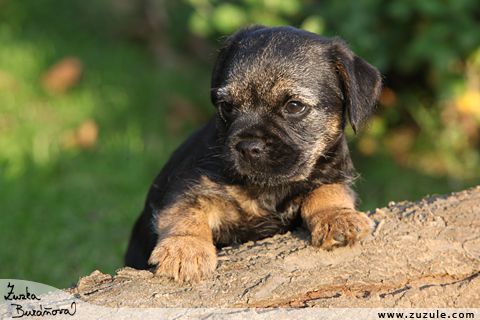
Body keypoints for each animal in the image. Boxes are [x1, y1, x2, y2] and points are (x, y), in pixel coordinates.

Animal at [124, 24, 382, 282]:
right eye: (227, 106)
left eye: (294, 106)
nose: (247, 147)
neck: (269, 189)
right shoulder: (188, 184)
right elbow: (186, 210)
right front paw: (185, 248)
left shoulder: (334, 172)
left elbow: (328, 190)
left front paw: (339, 217)